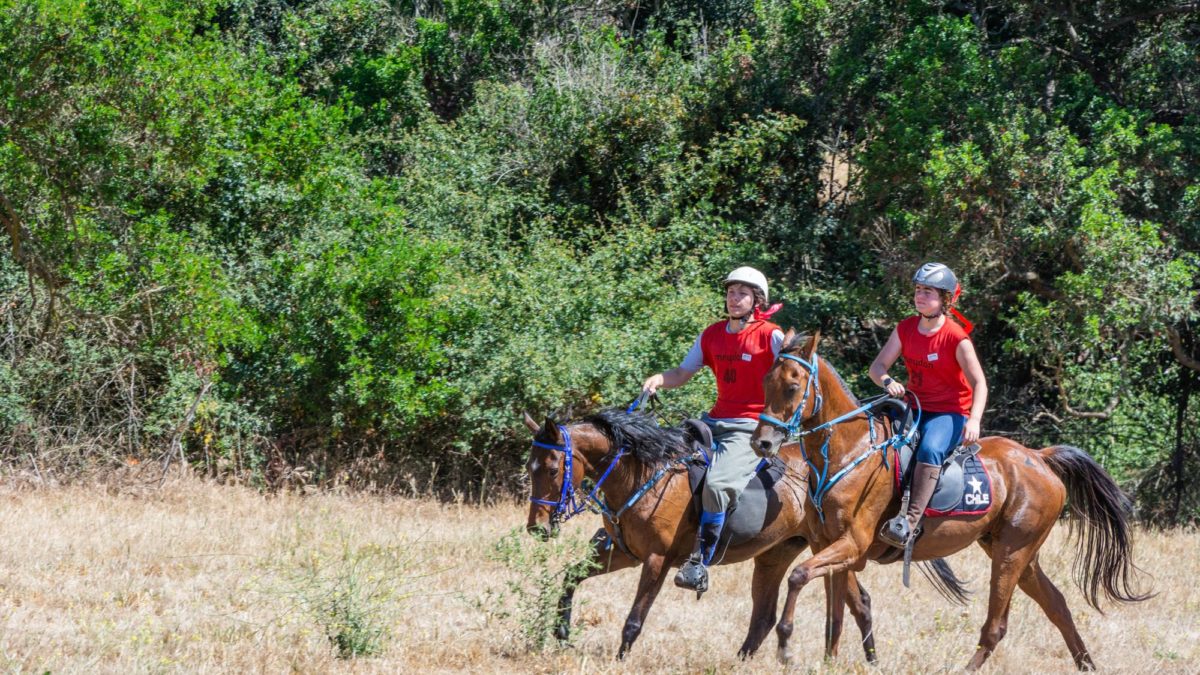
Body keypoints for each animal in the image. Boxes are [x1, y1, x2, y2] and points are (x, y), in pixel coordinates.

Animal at [523, 403, 964, 658]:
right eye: (531, 467)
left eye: (552, 468)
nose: (538, 529)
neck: (643, 472)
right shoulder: (621, 553)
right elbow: (570, 578)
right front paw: (560, 632)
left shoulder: (656, 560)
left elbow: (635, 617)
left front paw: (619, 658)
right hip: (779, 553)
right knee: (769, 616)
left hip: (831, 546)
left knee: (857, 603)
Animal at [748, 329, 1152, 662]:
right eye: (766, 382)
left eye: (793, 385)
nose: (762, 443)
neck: (847, 452)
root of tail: (1039, 457)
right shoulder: (829, 545)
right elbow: (836, 613)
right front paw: (828, 661)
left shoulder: (851, 544)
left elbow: (799, 576)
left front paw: (785, 642)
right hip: (1017, 553)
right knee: (1058, 607)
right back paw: (1086, 664)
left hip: (1011, 553)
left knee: (995, 628)